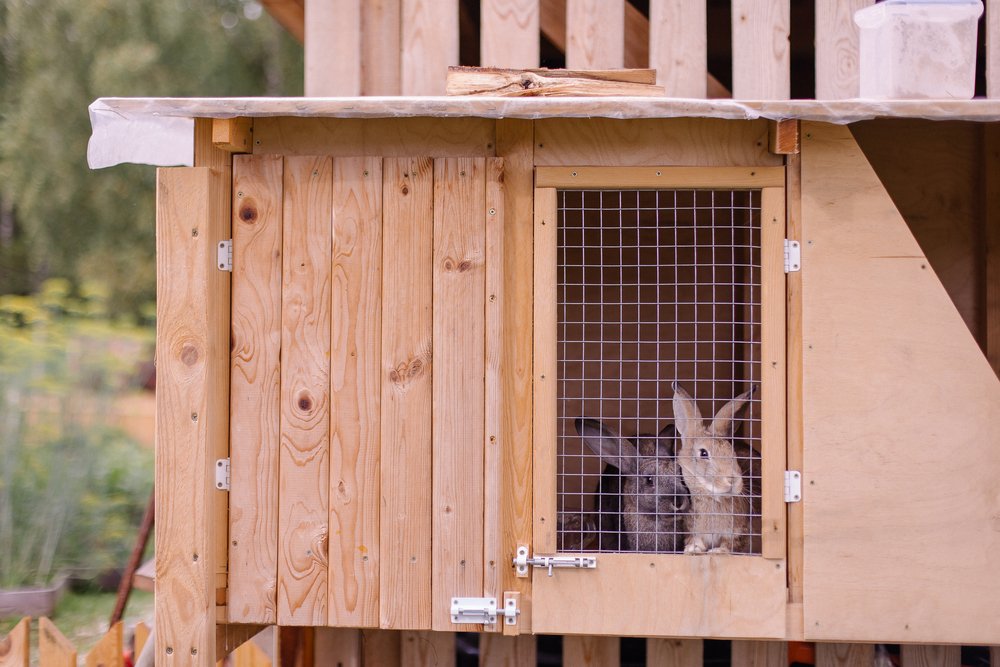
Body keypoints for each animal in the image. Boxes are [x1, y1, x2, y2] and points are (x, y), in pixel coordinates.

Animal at [671, 382, 756, 555]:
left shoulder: (739, 533)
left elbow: (730, 544)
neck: (711, 498)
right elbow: (695, 539)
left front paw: (718, 551)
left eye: (733, 452)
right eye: (703, 453)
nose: (732, 480)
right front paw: (694, 549)